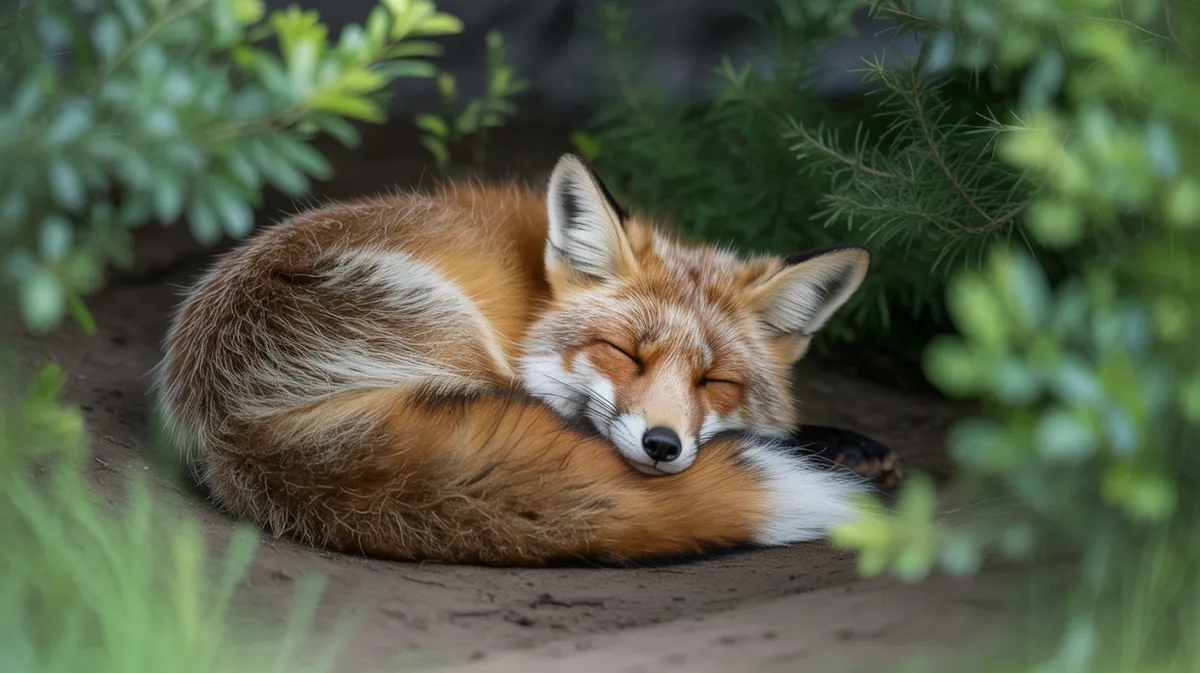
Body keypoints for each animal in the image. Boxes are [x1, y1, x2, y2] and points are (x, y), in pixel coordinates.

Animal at [154, 153, 891, 566]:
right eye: (624, 353)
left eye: (716, 380)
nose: (662, 445)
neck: (534, 294)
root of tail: (232, 425)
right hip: (455, 334)